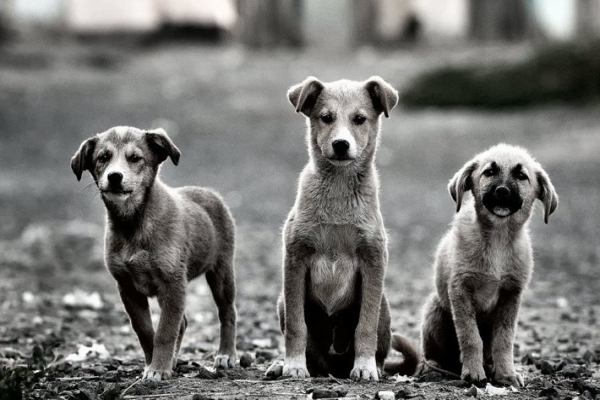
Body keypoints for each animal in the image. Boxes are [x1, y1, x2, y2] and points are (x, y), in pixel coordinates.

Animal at [71, 126, 237, 380]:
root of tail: (209, 193)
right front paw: (154, 364)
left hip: (221, 271)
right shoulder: (128, 287)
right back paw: (174, 360)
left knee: (227, 312)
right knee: (183, 322)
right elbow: (146, 331)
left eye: (135, 158)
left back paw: (226, 355)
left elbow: (165, 331)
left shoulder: (173, 283)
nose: (115, 177)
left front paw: (158, 369)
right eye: (102, 157)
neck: (133, 224)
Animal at [266, 76, 398, 382]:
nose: (340, 144)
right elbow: (297, 326)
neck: (338, 190)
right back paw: (283, 365)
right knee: (314, 354)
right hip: (281, 302)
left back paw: (375, 366)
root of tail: (333, 367)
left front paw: (364, 366)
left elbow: (365, 326)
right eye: (326, 118)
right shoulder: (295, 258)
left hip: (384, 305)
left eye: (359, 119)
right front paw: (293, 365)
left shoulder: (373, 260)